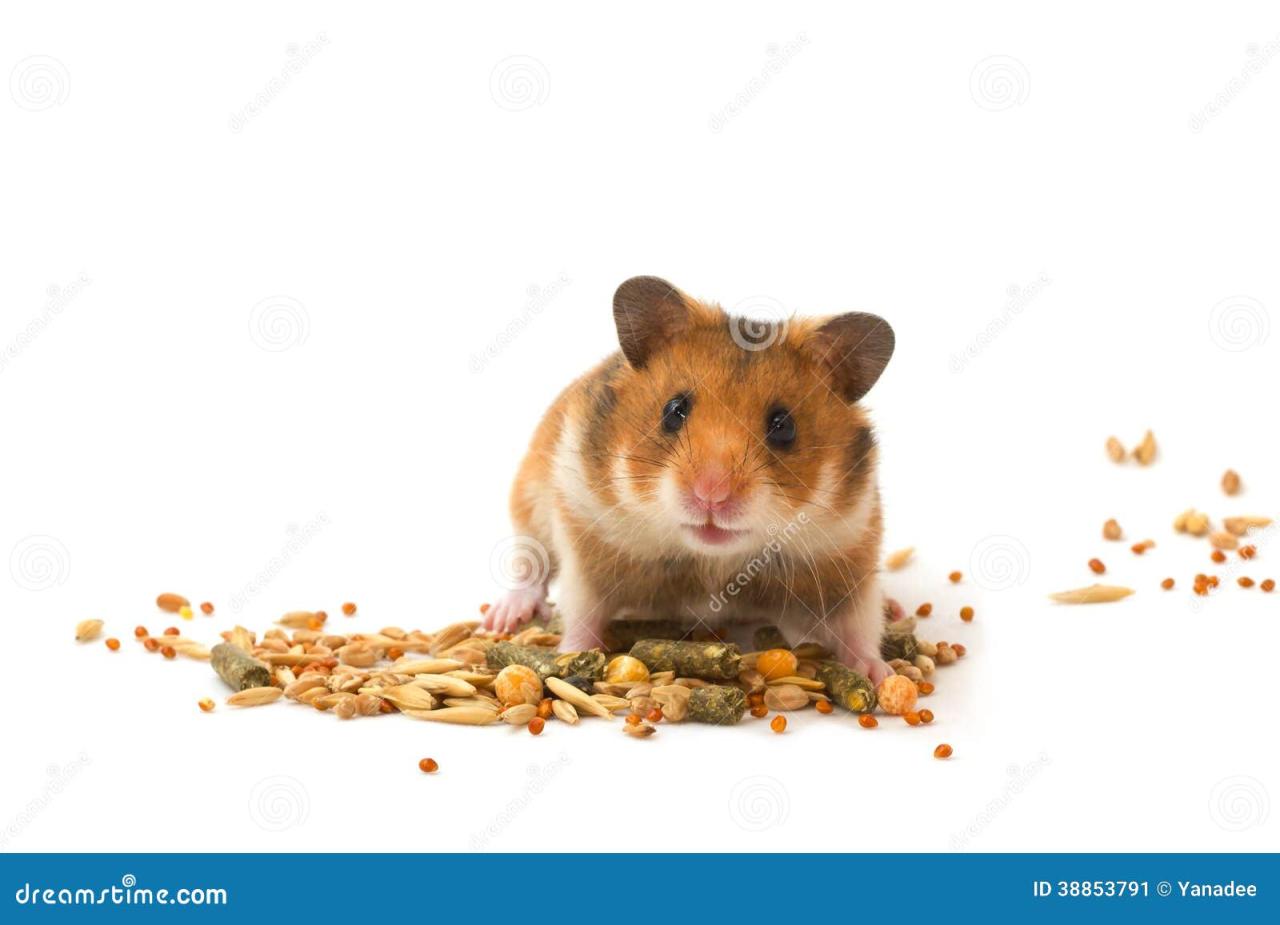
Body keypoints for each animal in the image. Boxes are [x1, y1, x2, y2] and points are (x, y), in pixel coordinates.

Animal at [483, 276, 898, 684]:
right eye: (674, 410)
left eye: (784, 426)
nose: (711, 495)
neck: (712, 560)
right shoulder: (584, 537)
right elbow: (584, 611)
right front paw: (569, 656)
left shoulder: (850, 548)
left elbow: (858, 626)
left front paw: (879, 676)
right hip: (529, 500)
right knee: (528, 564)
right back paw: (503, 617)